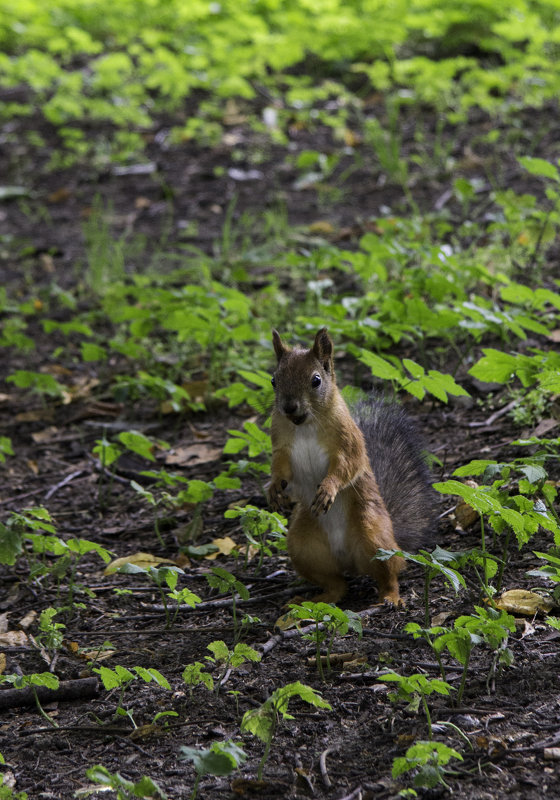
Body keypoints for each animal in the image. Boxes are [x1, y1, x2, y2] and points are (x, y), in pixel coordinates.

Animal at [270, 328, 436, 604]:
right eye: (274, 380)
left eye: (316, 380)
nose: (289, 406)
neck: (304, 425)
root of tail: (349, 560)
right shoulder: (281, 445)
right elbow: (280, 467)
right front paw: (273, 488)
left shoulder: (348, 440)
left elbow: (347, 465)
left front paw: (328, 488)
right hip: (302, 546)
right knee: (337, 585)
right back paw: (314, 600)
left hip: (374, 534)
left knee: (390, 572)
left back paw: (391, 597)